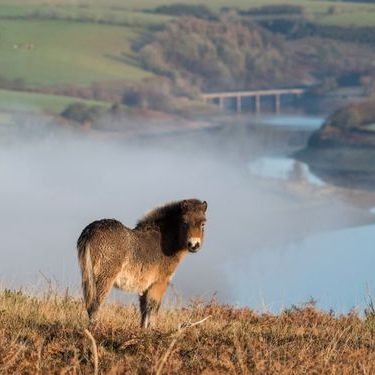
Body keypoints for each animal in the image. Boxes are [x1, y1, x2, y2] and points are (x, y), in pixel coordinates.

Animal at [76, 200, 206, 328]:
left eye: (203, 223)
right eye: (184, 222)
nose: (194, 244)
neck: (164, 241)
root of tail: (90, 231)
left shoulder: (145, 287)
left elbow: (144, 310)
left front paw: (143, 330)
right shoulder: (160, 282)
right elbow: (154, 307)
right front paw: (153, 330)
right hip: (104, 278)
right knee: (95, 304)